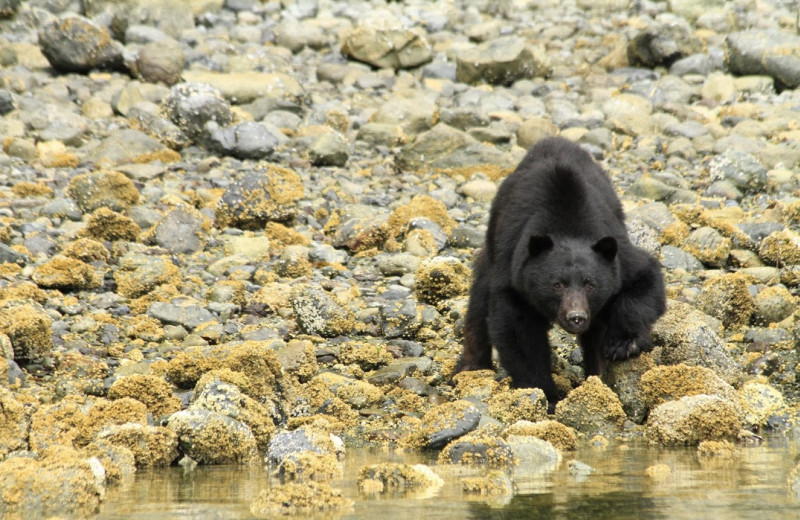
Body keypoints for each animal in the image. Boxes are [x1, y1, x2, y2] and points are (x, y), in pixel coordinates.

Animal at [456, 136, 668, 404]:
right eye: (556, 284)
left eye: (590, 284)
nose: (576, 317)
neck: (567, 226)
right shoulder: (513, 273)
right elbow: (518, 332)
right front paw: (545, 393)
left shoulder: (619, 259)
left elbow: (645, 281)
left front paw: (622, 344)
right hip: (491, 252)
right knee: (478, 303)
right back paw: (470, 368)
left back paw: (597, 375)